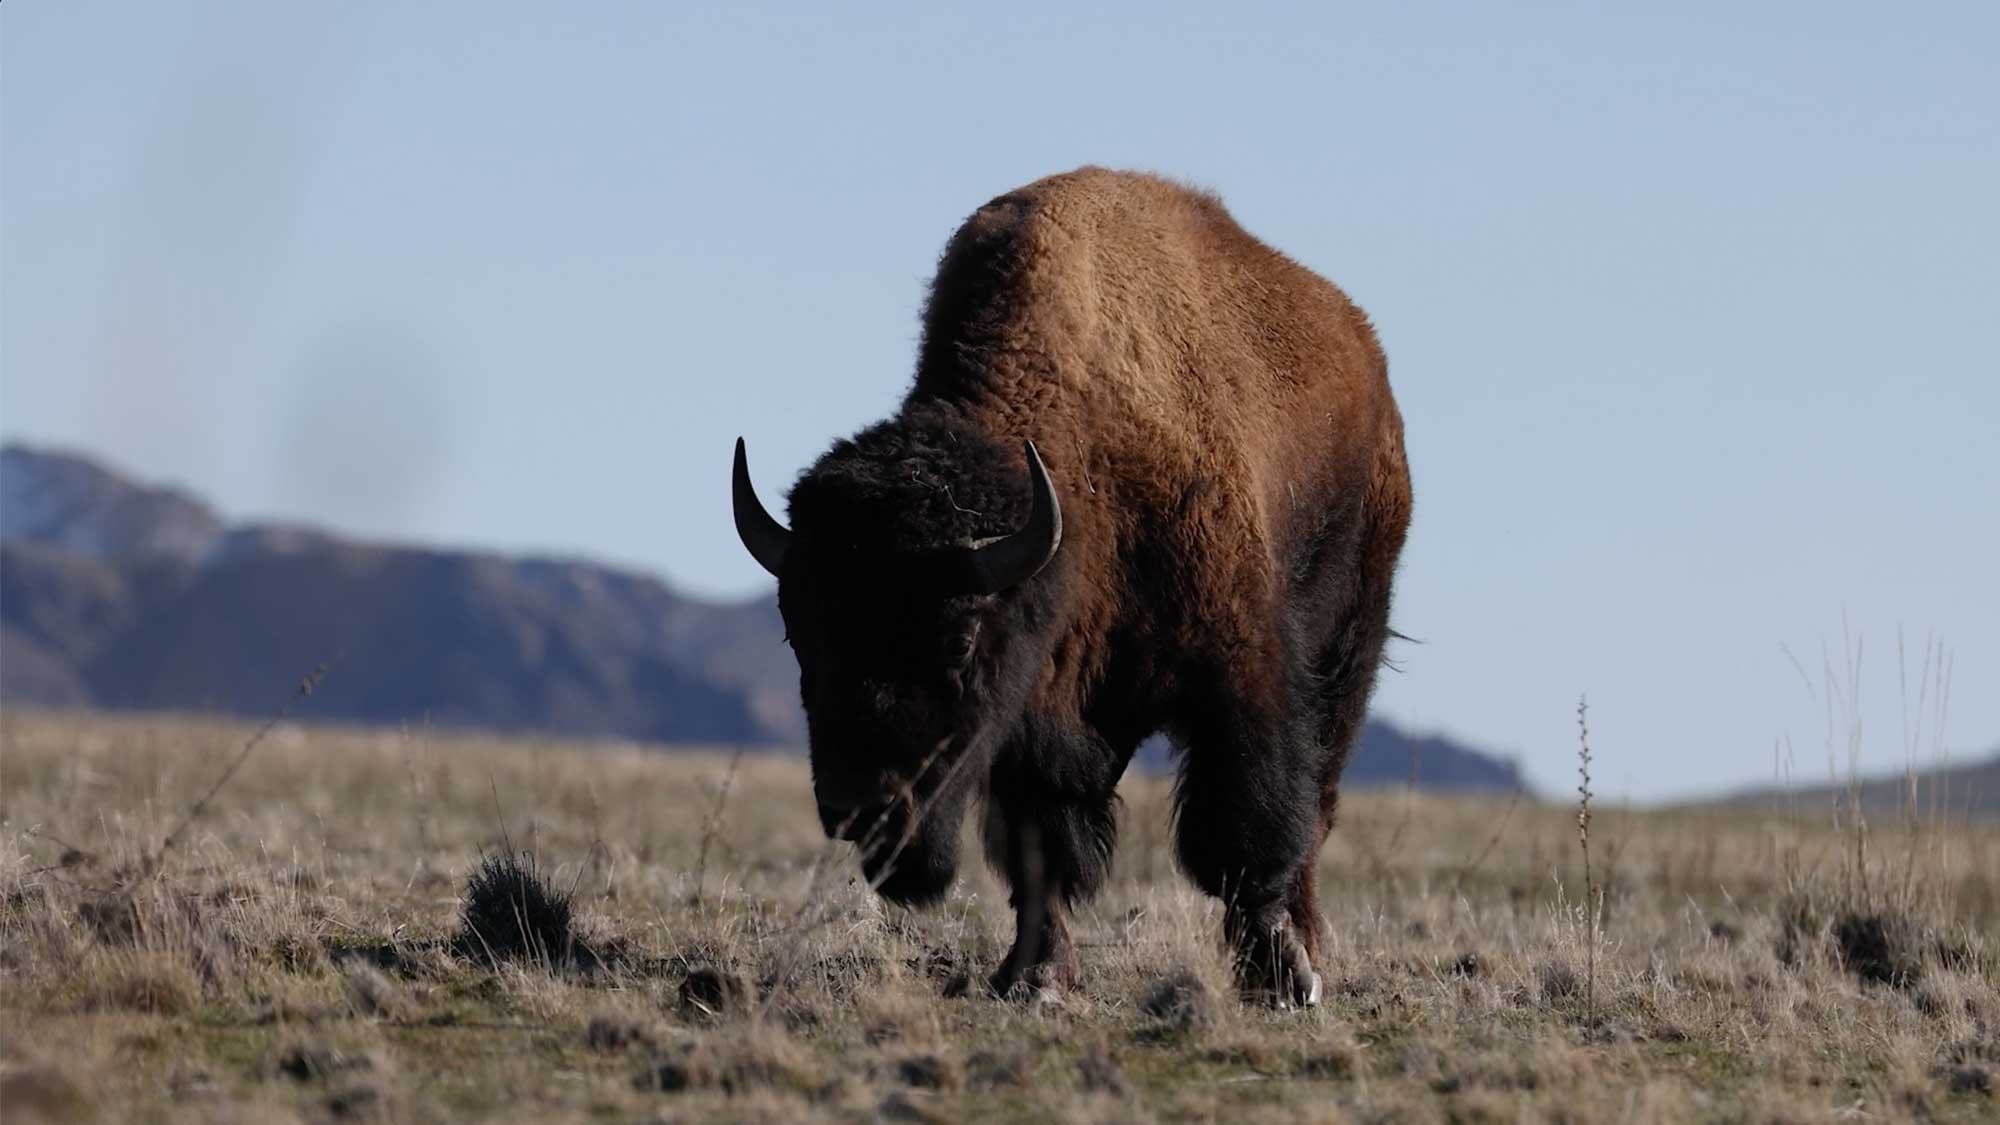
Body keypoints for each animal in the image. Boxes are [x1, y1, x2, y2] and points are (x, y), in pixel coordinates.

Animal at [733, 167, 1410, 1007]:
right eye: (802, 635)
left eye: (960, 638)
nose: (866, 809)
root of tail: (1367, 358)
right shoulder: (1038, 713)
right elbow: (1042, 847)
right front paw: (1035, 974)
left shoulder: (1240, 672)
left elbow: (1243, 833)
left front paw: (1283, 975)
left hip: (1350, 637)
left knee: (1316, 801)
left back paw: (1306, 947)